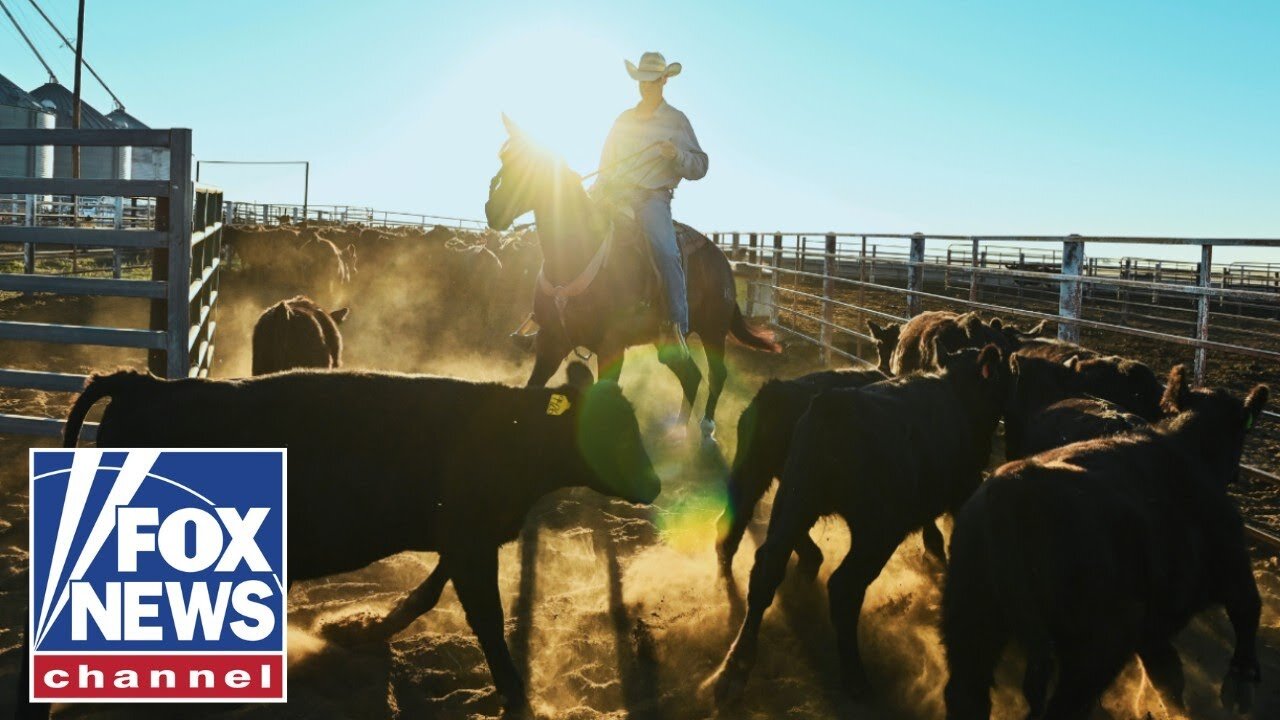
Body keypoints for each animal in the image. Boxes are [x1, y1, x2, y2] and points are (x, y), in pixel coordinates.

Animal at [58, 362, 660, 712]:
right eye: (608, 429)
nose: (653, 484)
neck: (510, 433)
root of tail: (145, 385)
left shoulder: (467, 536)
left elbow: (431, 593)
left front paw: (365, 627)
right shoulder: (470, 540)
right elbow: (487, 619)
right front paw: (516, 695)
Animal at [711, 344, 1009, 705]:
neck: (957, 390)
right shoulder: (962, 488)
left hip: (778, 488)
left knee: (754, 550)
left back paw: (735, 660)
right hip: (874, 532)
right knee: (844, 586)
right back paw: (855, 678)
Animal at [942, 365, 1269, 719]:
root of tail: (1013, 487)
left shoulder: (1153, 627)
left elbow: (1168, 673)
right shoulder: (1232, 562)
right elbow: (1248, 608)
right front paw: (1242, 682)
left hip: (972, 618)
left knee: (966, 694)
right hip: (1095, 650)